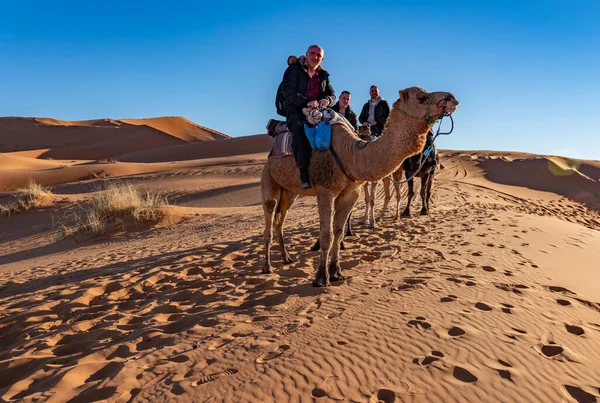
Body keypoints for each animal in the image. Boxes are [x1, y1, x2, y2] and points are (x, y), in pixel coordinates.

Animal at [258, 87, 460, 288]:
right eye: (421, 98)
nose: (452, 98)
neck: (351, 153)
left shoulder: (351, 192)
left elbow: (338, 233)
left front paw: (336, 273)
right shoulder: (326, 190)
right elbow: (327, 235)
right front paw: (321, 277)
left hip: (290, 193)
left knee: (279, 221)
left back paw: (286, 258)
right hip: (269, 179)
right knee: (270, 214)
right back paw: (267, 266)